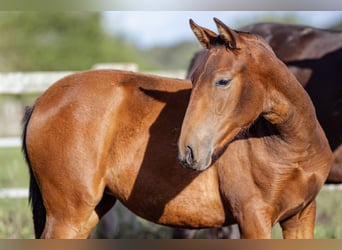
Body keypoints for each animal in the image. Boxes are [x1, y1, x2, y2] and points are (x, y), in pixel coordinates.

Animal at [22, 18, 332, 238]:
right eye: (193, 81)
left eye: (222, 81)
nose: (189, 151)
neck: (290, 147)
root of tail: (42, 100)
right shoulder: (253, 220)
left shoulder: (301, 217)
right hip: (68, 217)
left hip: (89, 213)